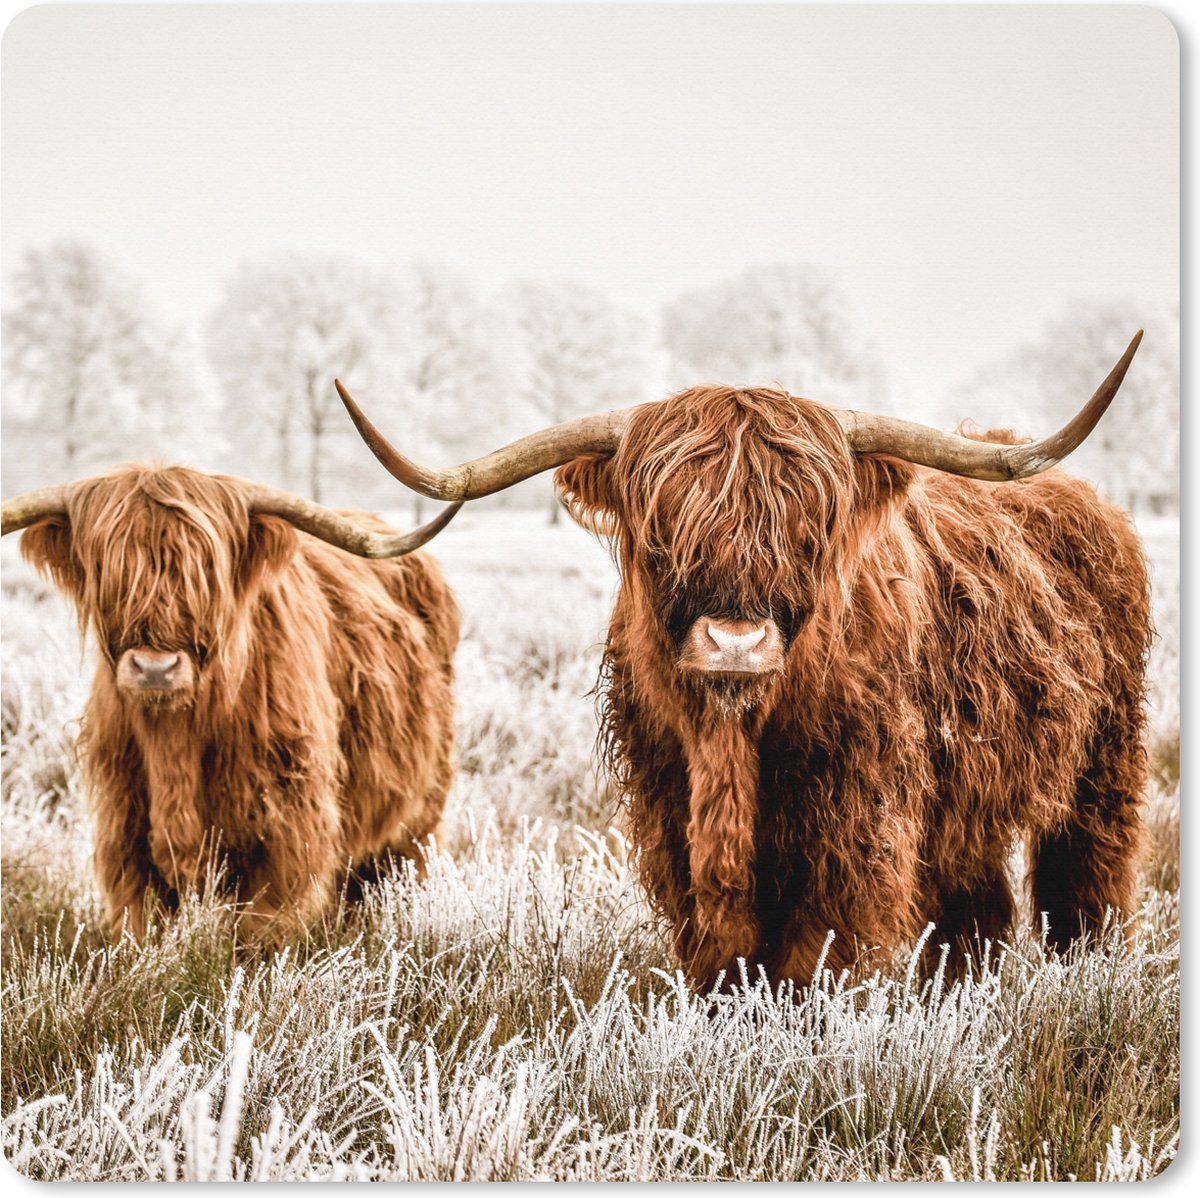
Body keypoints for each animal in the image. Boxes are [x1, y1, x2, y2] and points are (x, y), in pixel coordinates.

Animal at [1, 466, 462, 943]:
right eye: (106, 571)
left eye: (207, 573)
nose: (155, 668)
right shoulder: (124, 832)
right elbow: (141, 924)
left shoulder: (287, 833)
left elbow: (262, 932)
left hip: (420, 814)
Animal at [333, 331, 1151, 989]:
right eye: (662, 532)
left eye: (809, 531)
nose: (735, 643)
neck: (732, 742)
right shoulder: (670, 811)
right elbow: (720, 953)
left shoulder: (856, 822)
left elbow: (815, 956)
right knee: (976, 907)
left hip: (1104, 762)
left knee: (1086, 879)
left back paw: (1088, 974)